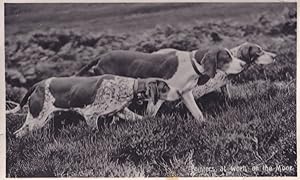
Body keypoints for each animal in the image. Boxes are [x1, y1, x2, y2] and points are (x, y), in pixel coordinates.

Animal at [7, 74, 180, 138]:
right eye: (165, 88)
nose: (179, 92)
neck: (129, 87)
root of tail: (38, 85)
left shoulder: (121, 111)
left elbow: (141, 118)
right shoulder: (91, 115)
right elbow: (96, 132)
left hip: (41, 119)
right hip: (37, 118)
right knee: (19, 133)